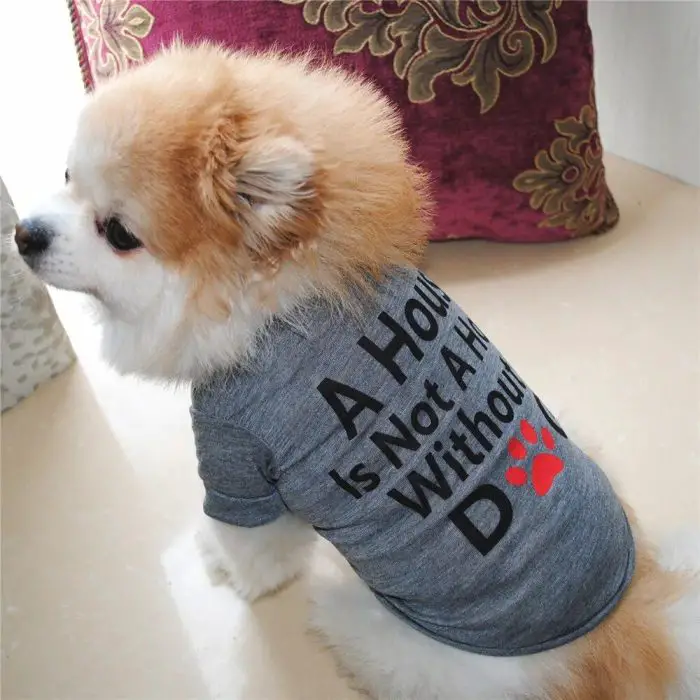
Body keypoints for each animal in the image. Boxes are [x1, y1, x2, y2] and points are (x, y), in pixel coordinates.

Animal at [13, 43, 696, 700]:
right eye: (67, 176)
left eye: (118, 233)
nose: (23, 233)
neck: (274, 303)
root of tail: (625, 632)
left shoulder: (237, 460)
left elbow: (250, 549)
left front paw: (221, 564)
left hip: (382, 630)